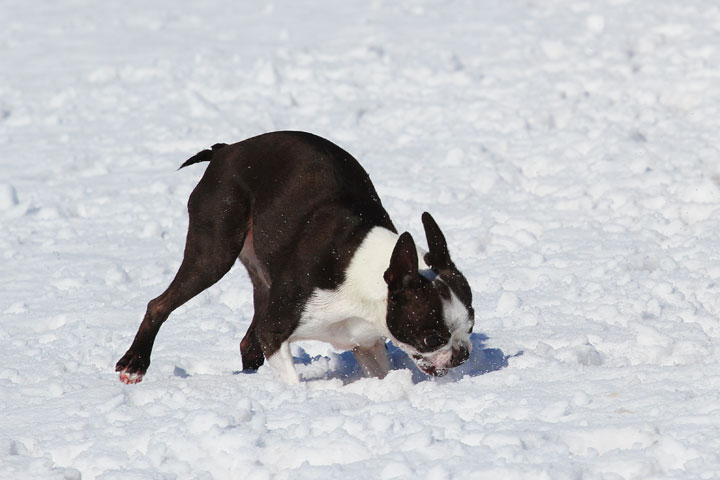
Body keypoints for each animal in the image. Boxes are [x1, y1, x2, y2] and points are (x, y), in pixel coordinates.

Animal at [115, 132, 476, 386]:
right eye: (432, 337)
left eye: (471, 328)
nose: (462, 354)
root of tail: (227, 150)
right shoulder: (276, 330)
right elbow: (292, 380)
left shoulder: (366, 342)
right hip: (214, 252)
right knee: (159, 304)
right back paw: (134, 364)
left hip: (263, 281)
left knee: (248, 342)